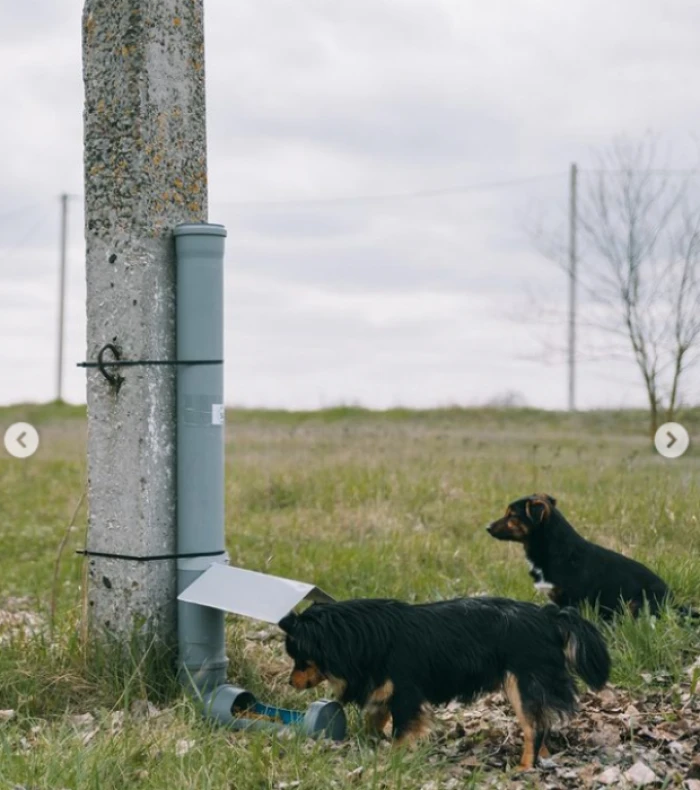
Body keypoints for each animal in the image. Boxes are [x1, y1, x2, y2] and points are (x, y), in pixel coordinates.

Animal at [276, 596, 608, 772]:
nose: (290, 682)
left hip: (522, 684)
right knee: (542, 721)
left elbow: (400, 731)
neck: (364, 639)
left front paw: (393, 760)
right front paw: (369, 747)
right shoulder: (385, 690)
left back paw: (525, 767)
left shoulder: (406, 695)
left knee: (533, 727)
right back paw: (544, 758)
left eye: (299, 659)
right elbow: (375, 720)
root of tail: (549, 616)